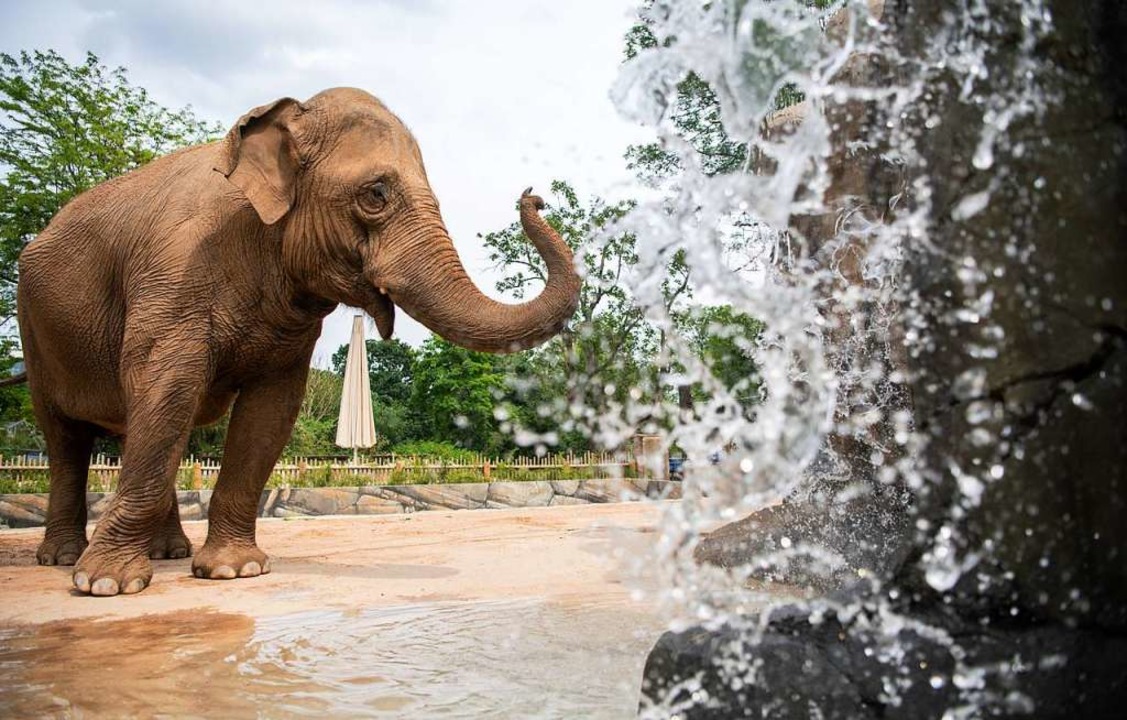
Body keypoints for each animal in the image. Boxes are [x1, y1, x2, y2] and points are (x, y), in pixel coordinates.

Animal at [17, 87, 581, 594]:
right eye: (376, 194)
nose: (533, 196)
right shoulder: (173, 276)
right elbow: (167, 391)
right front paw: (106, 584)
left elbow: (270, 410)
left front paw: (234, 571)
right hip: (34, 331)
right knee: (67, 437)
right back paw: (63, 559)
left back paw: (168, 553)